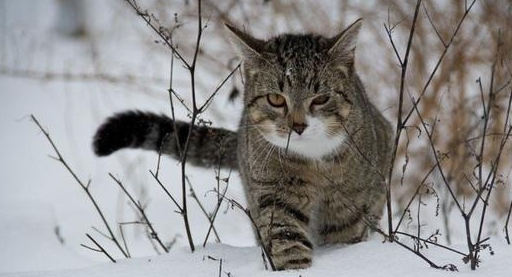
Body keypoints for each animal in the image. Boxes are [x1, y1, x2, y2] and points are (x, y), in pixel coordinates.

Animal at [93, 20, 392, 270]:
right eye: (275, 99)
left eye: (320, 99)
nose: (298, 126)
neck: (313, 160)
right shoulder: (274, 190)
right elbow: (286, 236)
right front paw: (295, 268)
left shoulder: (348, 204)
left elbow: (344, 235)